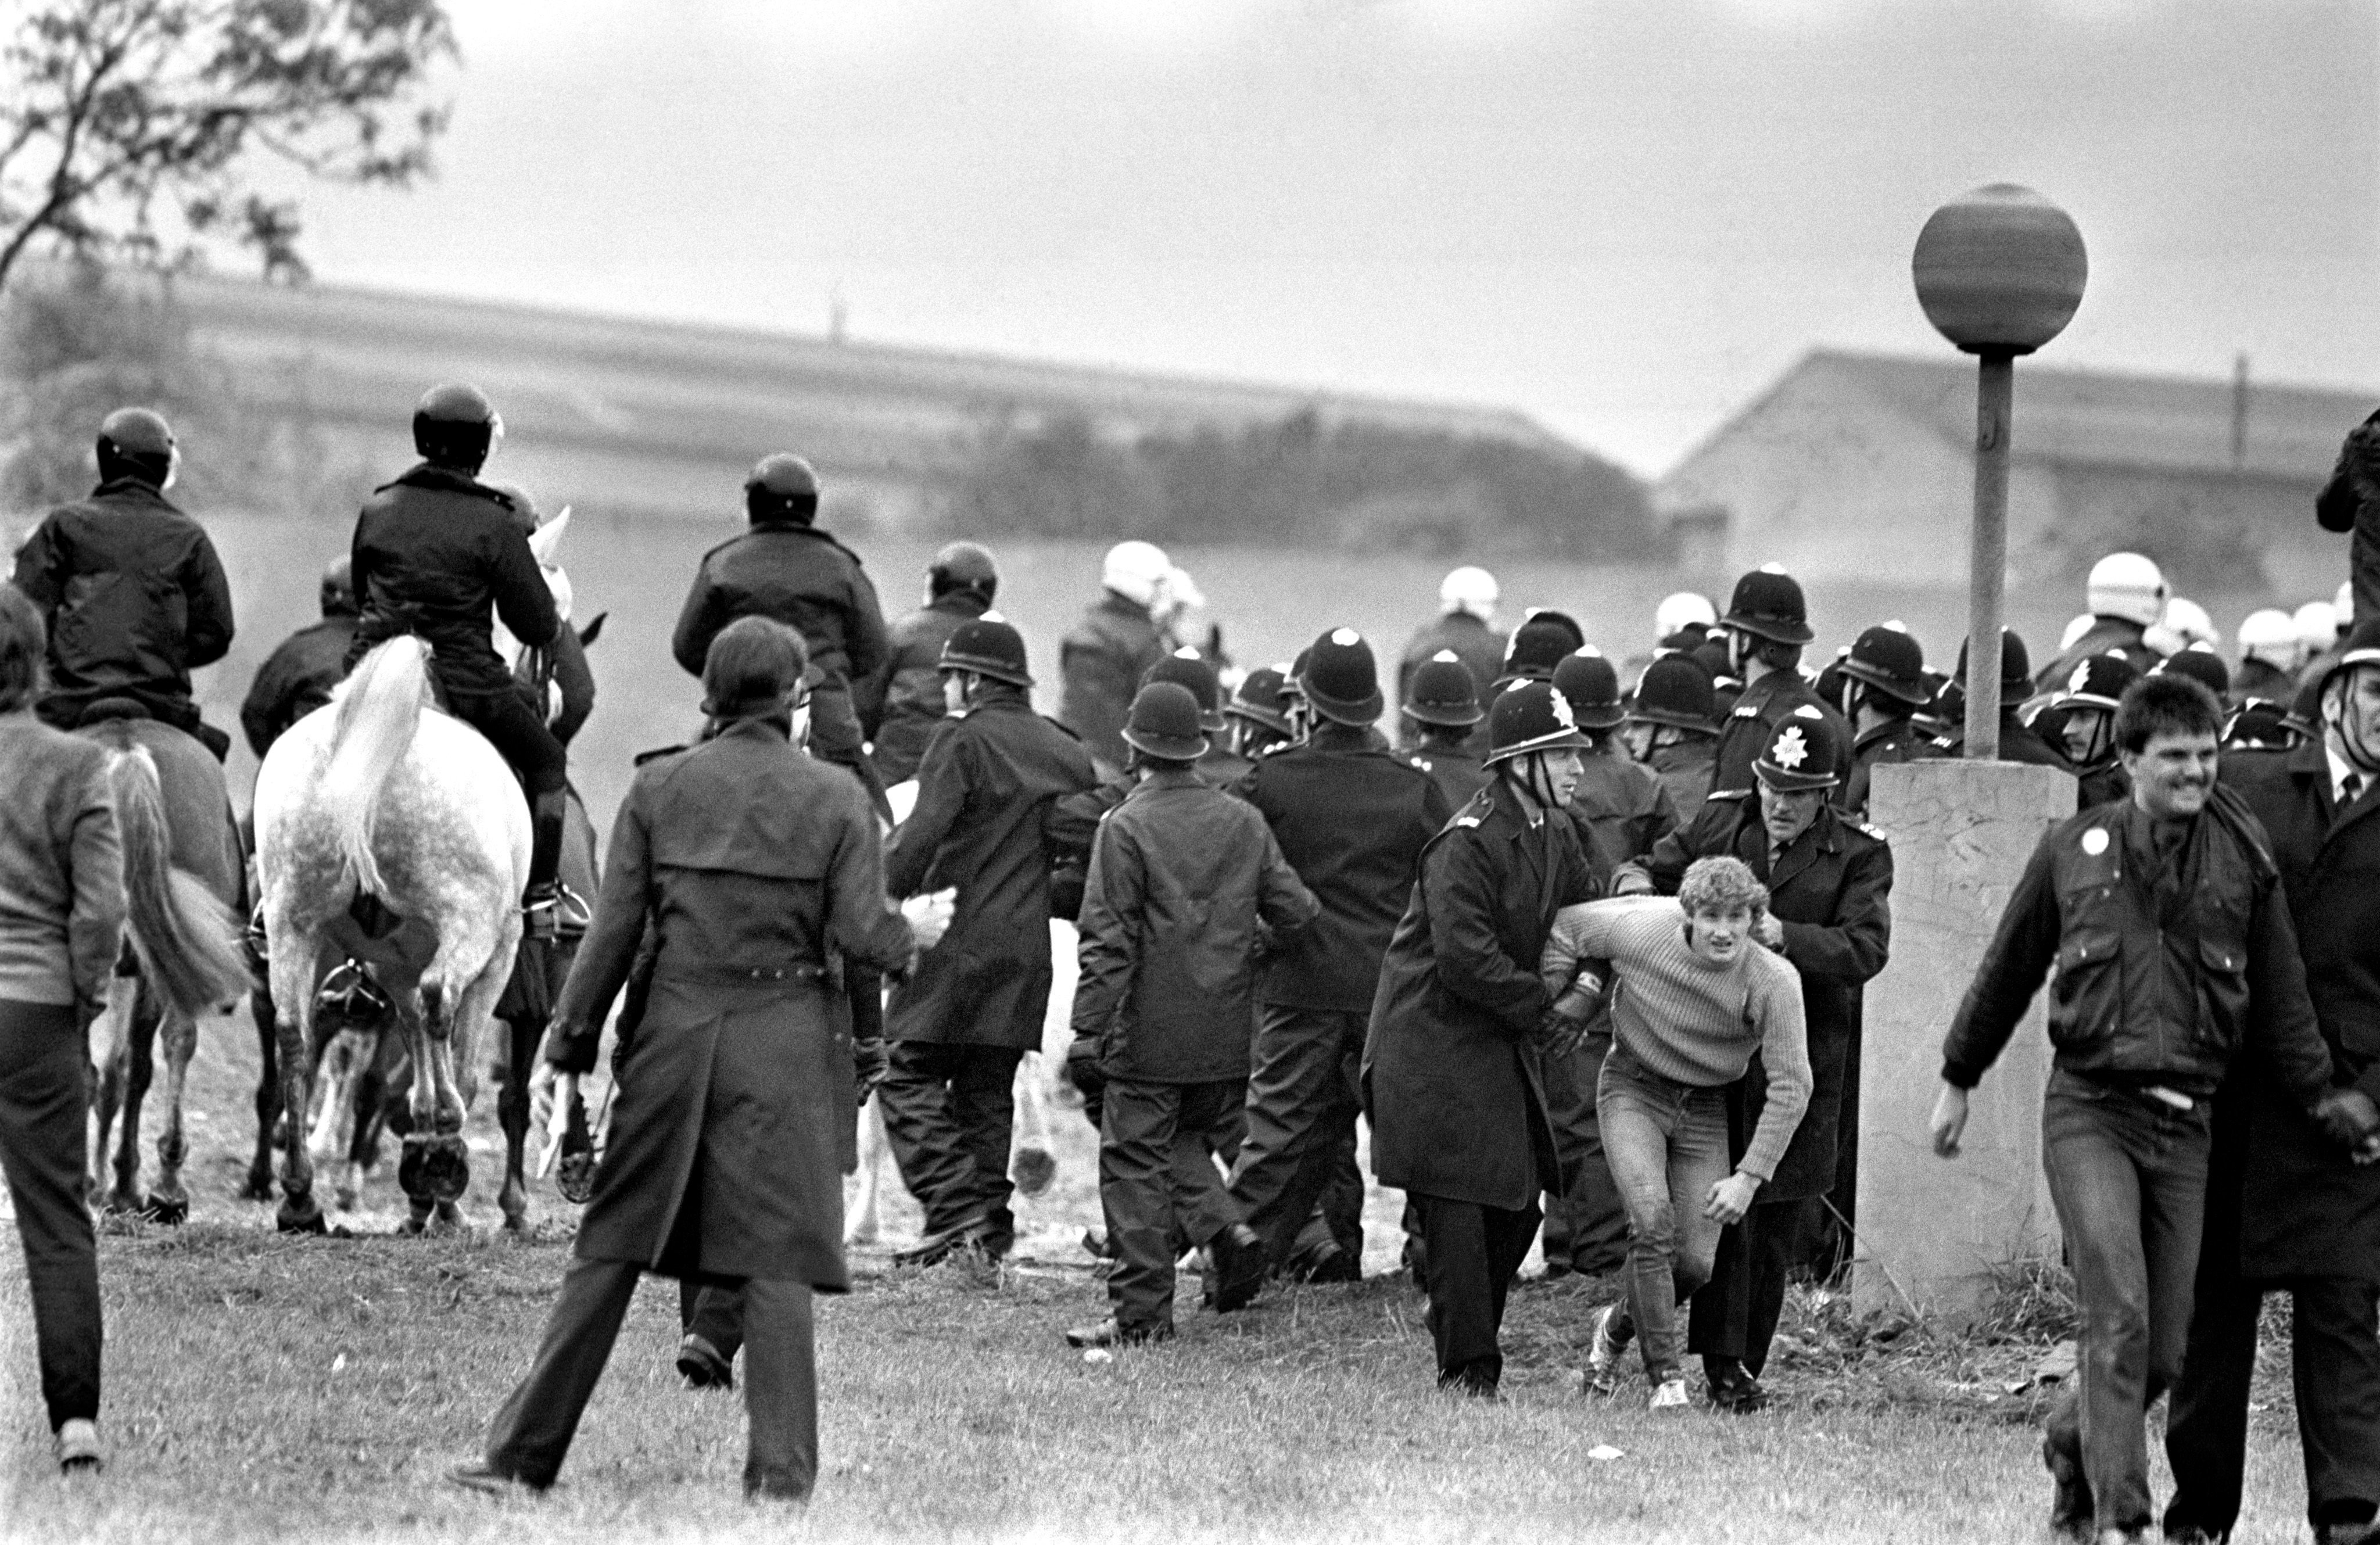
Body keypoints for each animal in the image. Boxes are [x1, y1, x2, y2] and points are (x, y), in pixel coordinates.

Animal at [255, 638, 526, 1228]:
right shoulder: (496, 958)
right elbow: (455, 1060)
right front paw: (439, 1177)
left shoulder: (394, 966)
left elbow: (412, 1043)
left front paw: (422, 1171)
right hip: (470, 927)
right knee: (440, 999)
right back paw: (445, 1150)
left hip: (292, 923)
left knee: (294, 1034)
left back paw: (300, 1196)